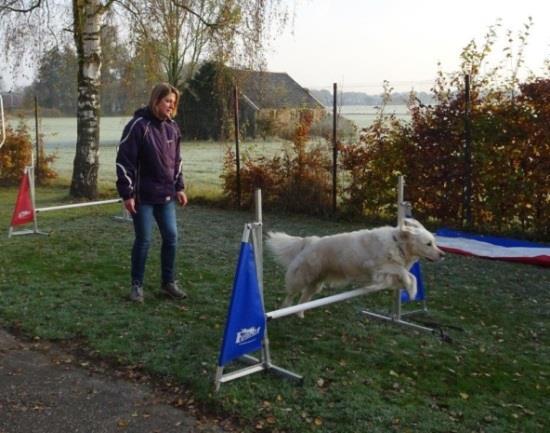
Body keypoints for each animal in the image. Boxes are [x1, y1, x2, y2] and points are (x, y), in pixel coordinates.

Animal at [268, 218, 448, 316]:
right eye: (428, 244)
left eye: (434, 242)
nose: (443, 255)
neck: (398, 244)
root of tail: (309, 241)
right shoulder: (377, 266)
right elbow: (405, 272)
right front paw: (412, 291)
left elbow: (409, 275)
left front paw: (411, 289)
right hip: (302, 277)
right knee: (291, 294)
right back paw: (285, 307)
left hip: (316, 282)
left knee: (304, 298)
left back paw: (300, 313)